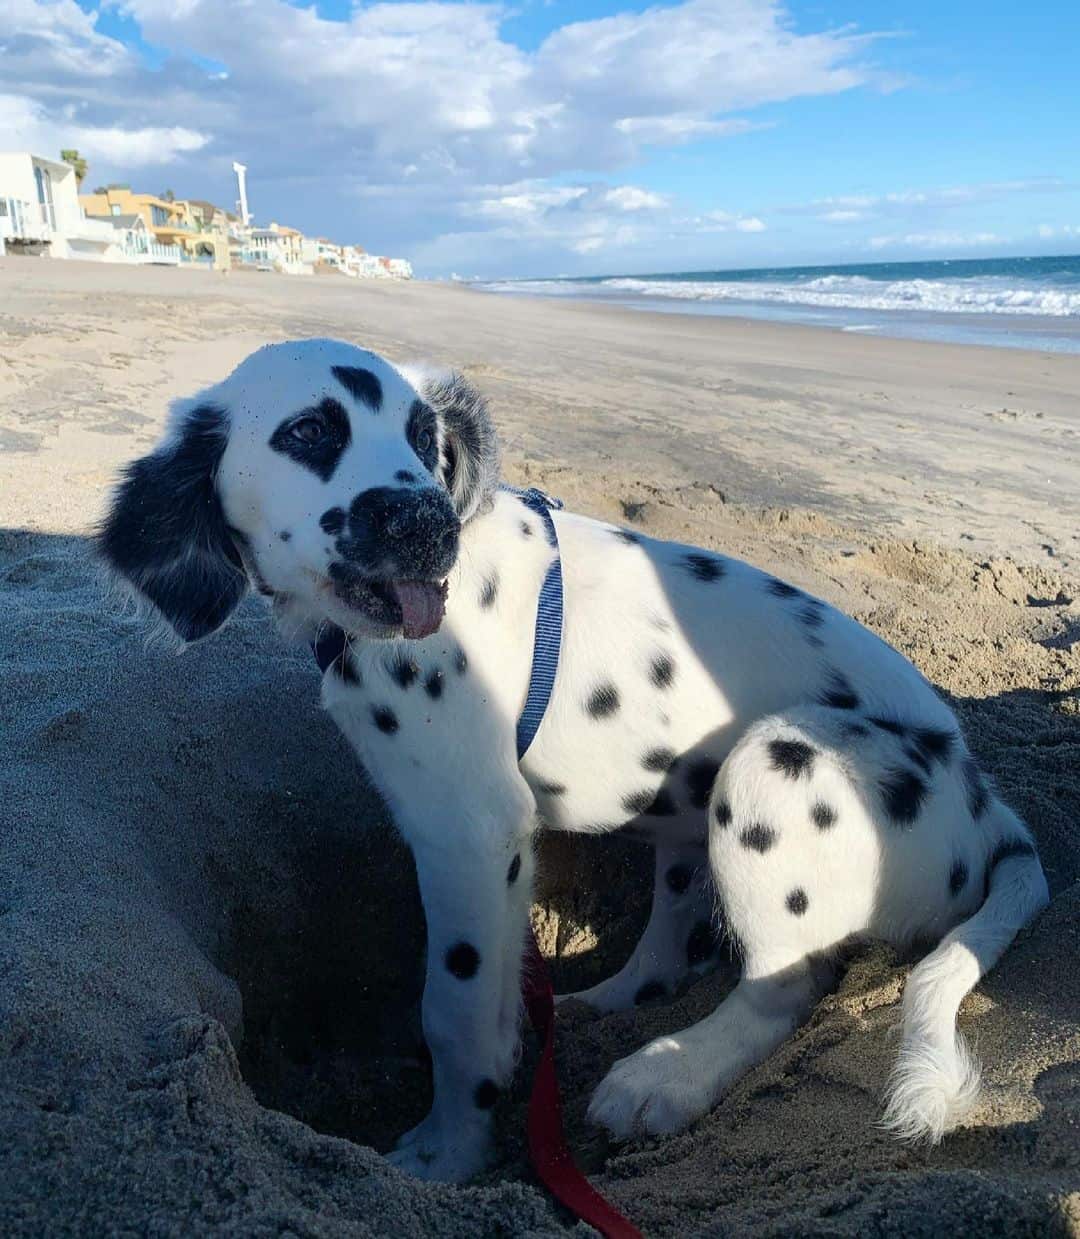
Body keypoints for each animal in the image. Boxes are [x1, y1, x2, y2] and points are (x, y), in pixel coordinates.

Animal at [101, 337, 1045, 1179]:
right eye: (307, 431)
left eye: (423, 437)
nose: (429, 526)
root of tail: (987, 805)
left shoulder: (471, 834)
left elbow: (455, 1011)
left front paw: (449, 1153)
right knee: (670, 949)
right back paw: (607, 1008)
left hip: (776, 759)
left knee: (784, 981)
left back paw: (666, 1076)